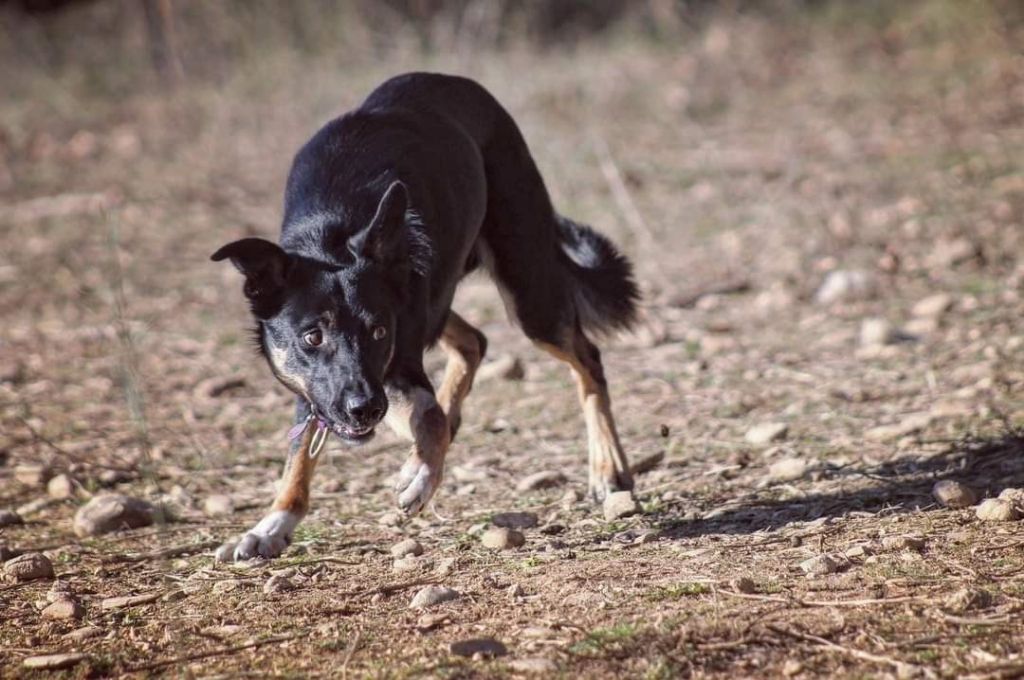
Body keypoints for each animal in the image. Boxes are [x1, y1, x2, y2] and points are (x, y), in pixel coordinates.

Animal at [210, 73, 634, 561]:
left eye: (378, 331)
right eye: (312, 337)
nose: (363, 408)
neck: (329, 236)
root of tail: (456, 82)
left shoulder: (398, 346)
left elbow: (427, 419)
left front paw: (421, 472)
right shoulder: (319, 385)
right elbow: (304, 449)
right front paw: (273, 524)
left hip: (527, 294)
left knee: (586, 359)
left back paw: (607, 467)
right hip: (437, 297)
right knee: (473, 342)